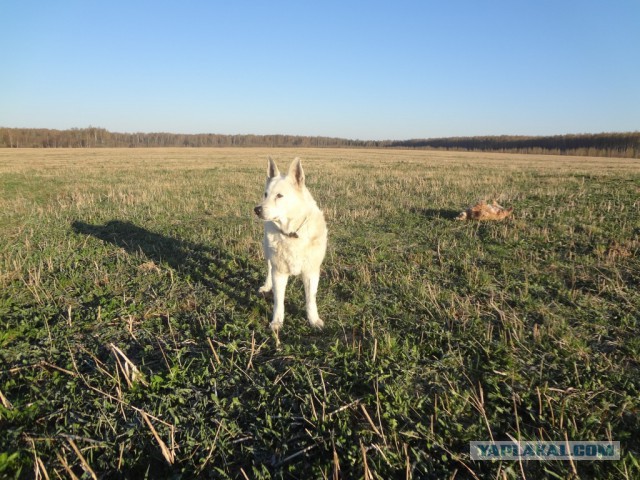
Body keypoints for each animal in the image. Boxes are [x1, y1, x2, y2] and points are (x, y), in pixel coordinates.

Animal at [252, 158, 328, 334]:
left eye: (279, 195)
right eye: (265, 194)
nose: (257, 209)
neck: (292, 233)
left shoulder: (311, 272)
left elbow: (310, 300)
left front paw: (314, 320)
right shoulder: (279, 272)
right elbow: (278, 301)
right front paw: (277, 322)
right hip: (268, 254)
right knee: (269, 269)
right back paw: (266, 286)